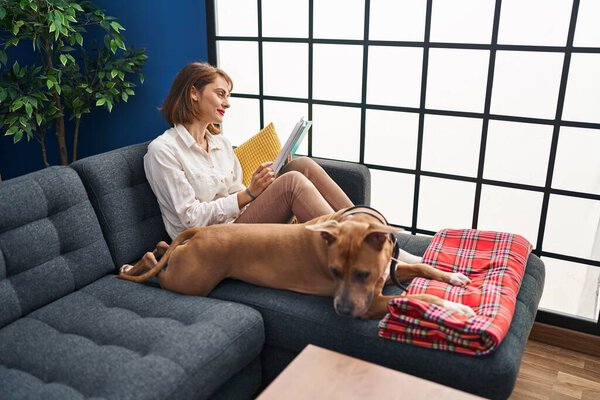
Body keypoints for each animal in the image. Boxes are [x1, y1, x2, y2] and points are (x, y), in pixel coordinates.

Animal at [118, 206, 474, 318]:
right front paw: (457, 307)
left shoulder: (389, 271)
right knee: (159, 270)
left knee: (160, 251)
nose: (342, 310)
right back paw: (132, 266)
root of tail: (201, 231)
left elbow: (422, 268)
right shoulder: (373, 302)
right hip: (190, 282)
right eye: (334, 272)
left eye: (362, 274)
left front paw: (454, 278)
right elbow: (422, 295)